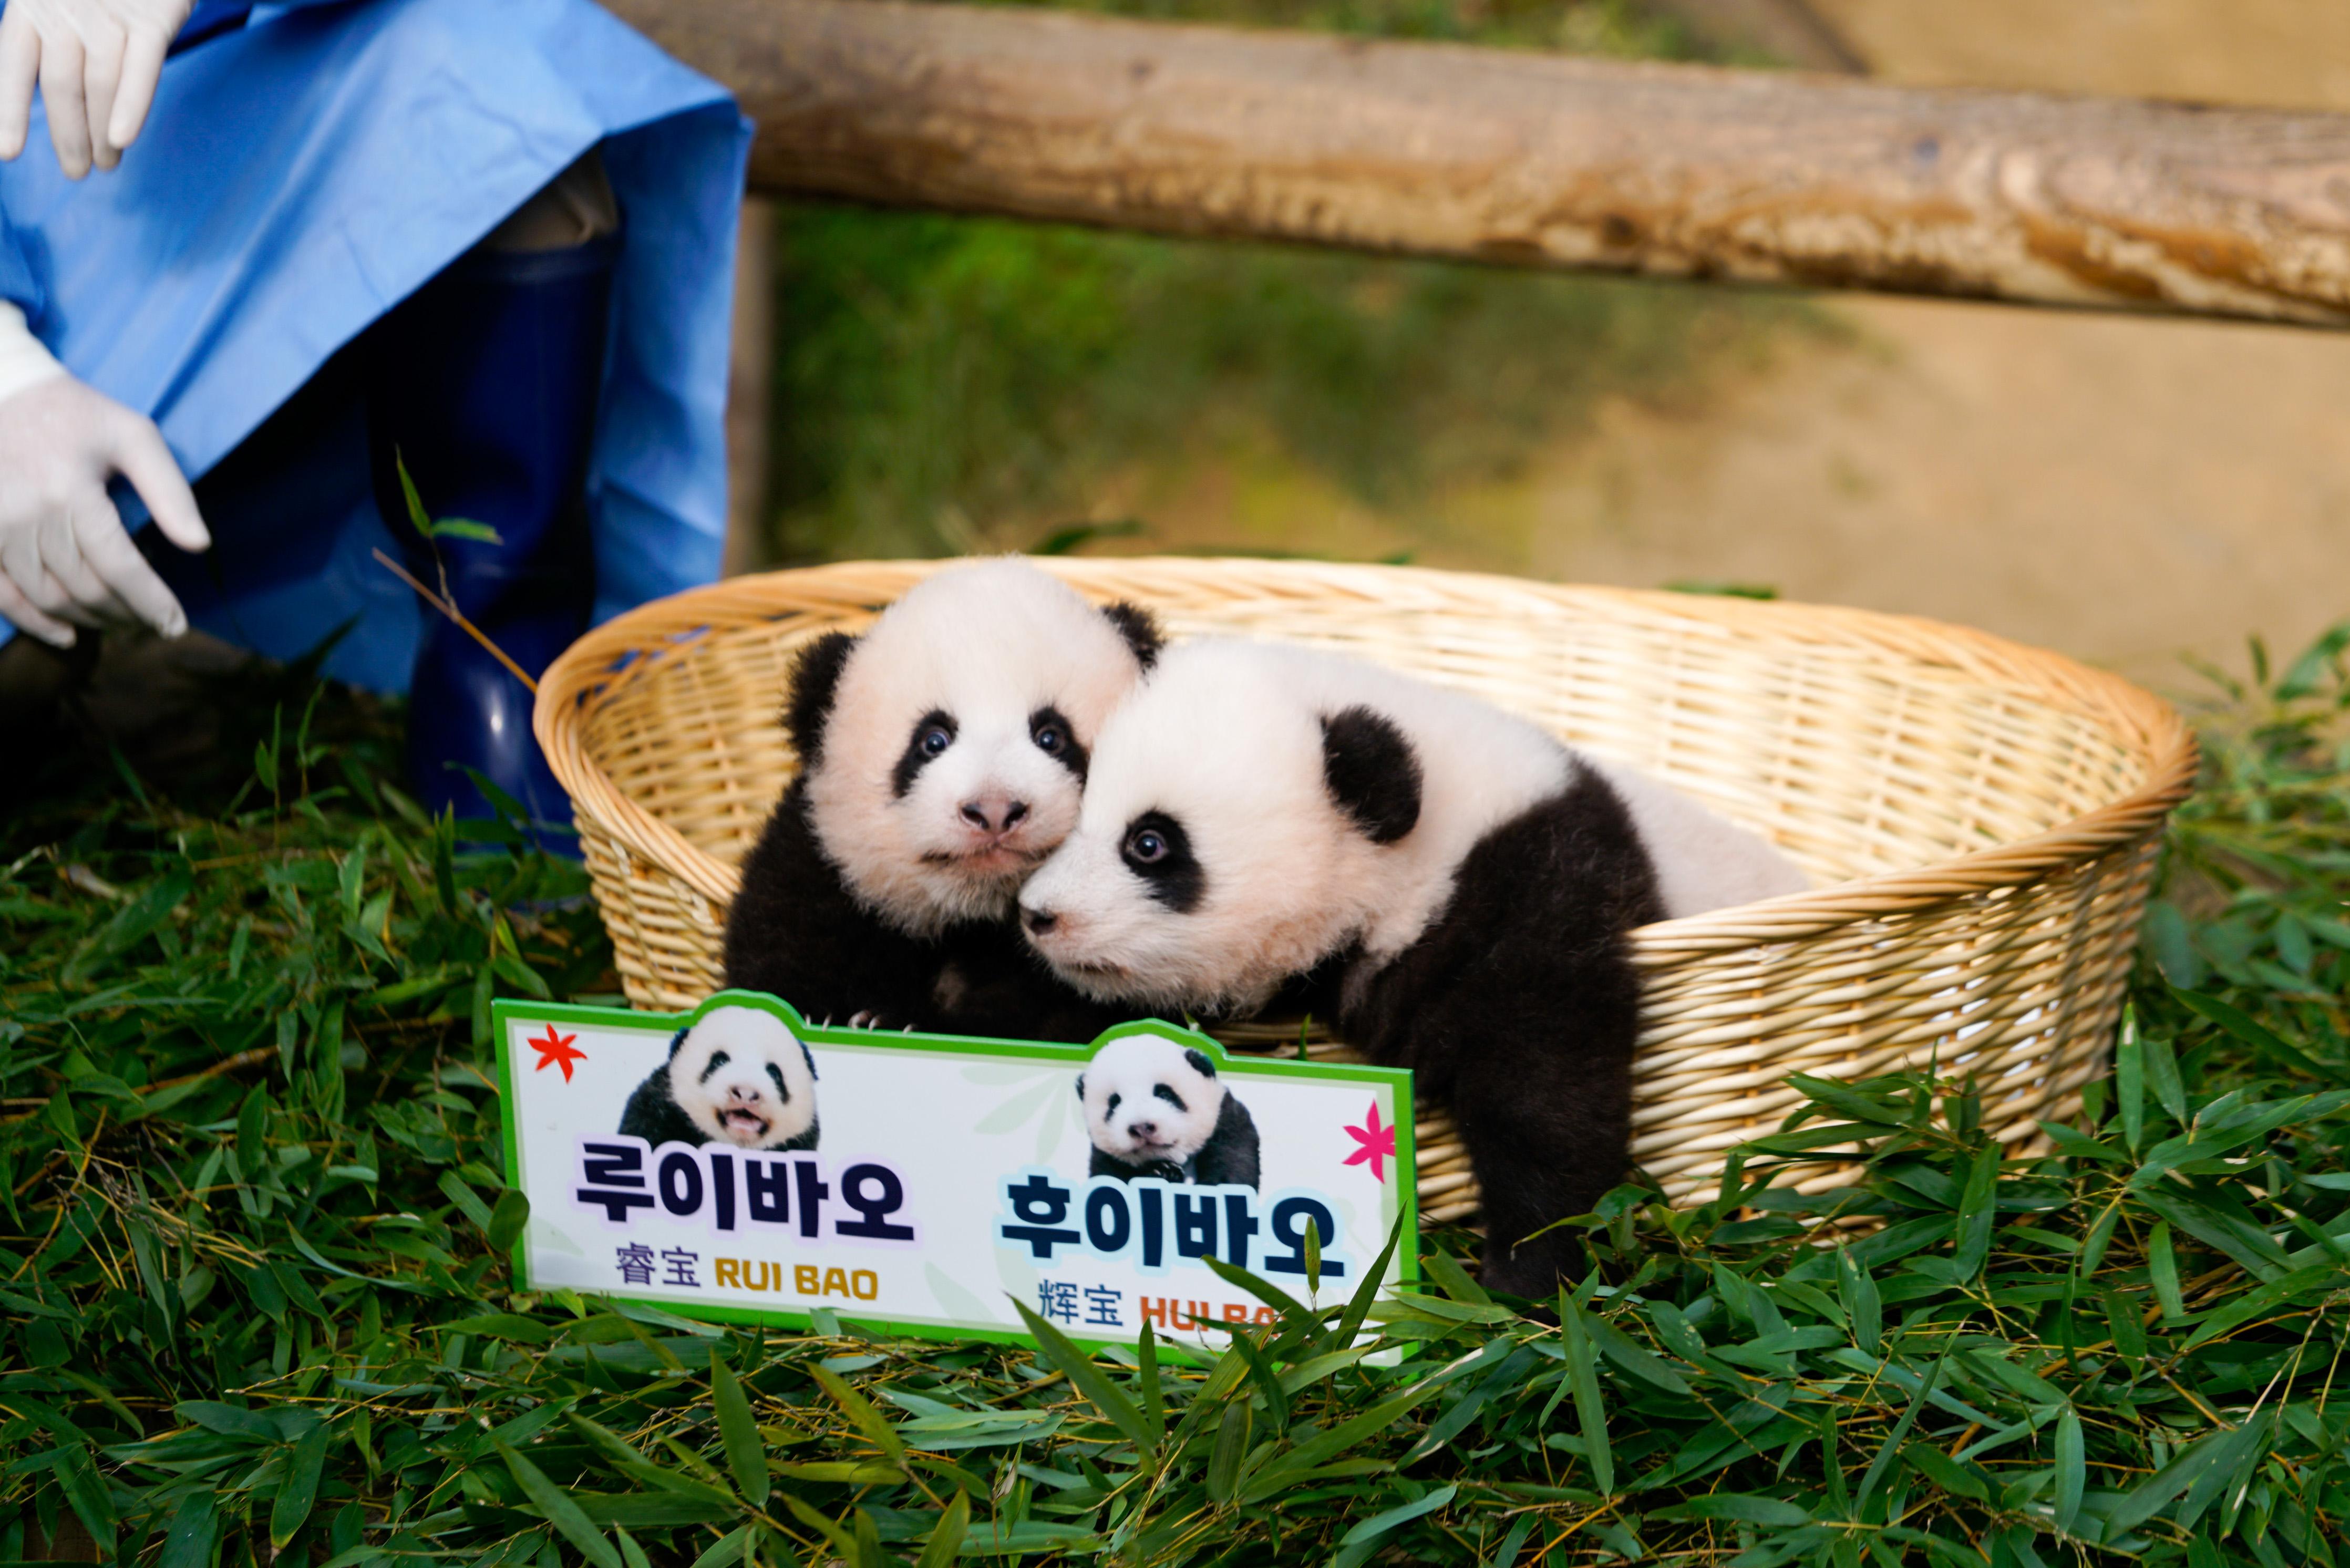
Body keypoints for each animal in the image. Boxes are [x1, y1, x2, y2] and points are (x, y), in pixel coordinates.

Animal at [722, 557, 1162, 1041]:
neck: (972, 919)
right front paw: (862, 1017)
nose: (995, 810)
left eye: (1052, 737)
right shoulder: (813, 871)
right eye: (933, 741)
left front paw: (894, 1020)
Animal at [1076, 1033, 1261, 1188]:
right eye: (1114, 1104)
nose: (1142, 1127)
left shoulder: (1227, 1121)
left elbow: (1233, 1168)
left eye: (1165, 1094)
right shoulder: (1104, 1157)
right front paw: (1163, 1173)